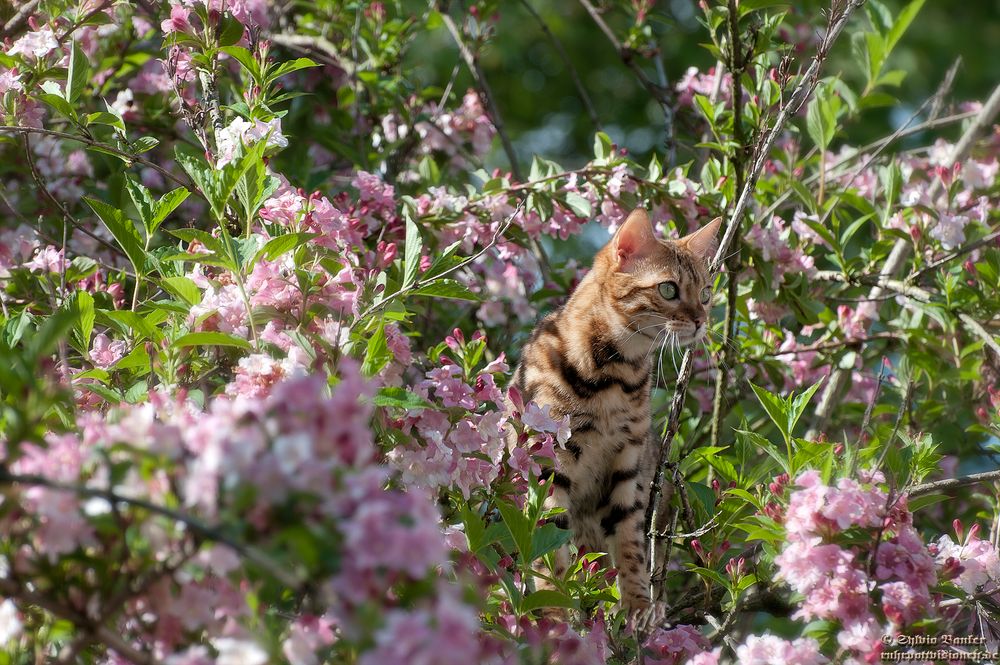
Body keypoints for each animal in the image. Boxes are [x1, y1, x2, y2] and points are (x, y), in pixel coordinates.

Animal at [508, 208, 720, 628]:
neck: (613, 377)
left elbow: (629, 544)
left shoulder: (627, 461)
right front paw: (553, 611)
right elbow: (548, 549)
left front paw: (637, 604)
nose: (701, 319)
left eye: (705, 293)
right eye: (668, 290)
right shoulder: (551, 463)